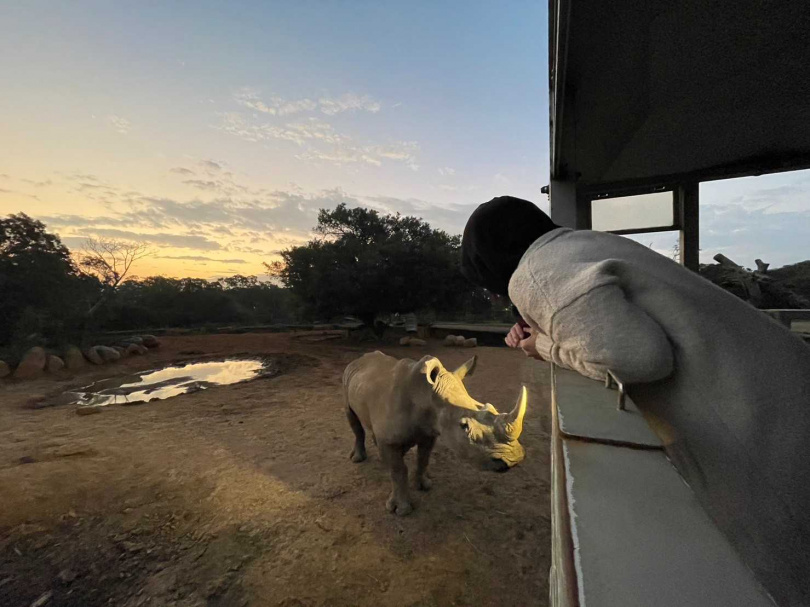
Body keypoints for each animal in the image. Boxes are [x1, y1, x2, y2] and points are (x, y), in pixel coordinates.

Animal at [340, 352, 524, 516]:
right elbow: (398, 470)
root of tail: (360, 359)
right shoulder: (390, 441)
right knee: (353, 419)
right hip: (346, 378)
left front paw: (424, 485)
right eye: (464, 426)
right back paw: (358, 458)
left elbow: (423, 458)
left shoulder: (429, 432)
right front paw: (401, 510)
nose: (514, 459)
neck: (426, 396)